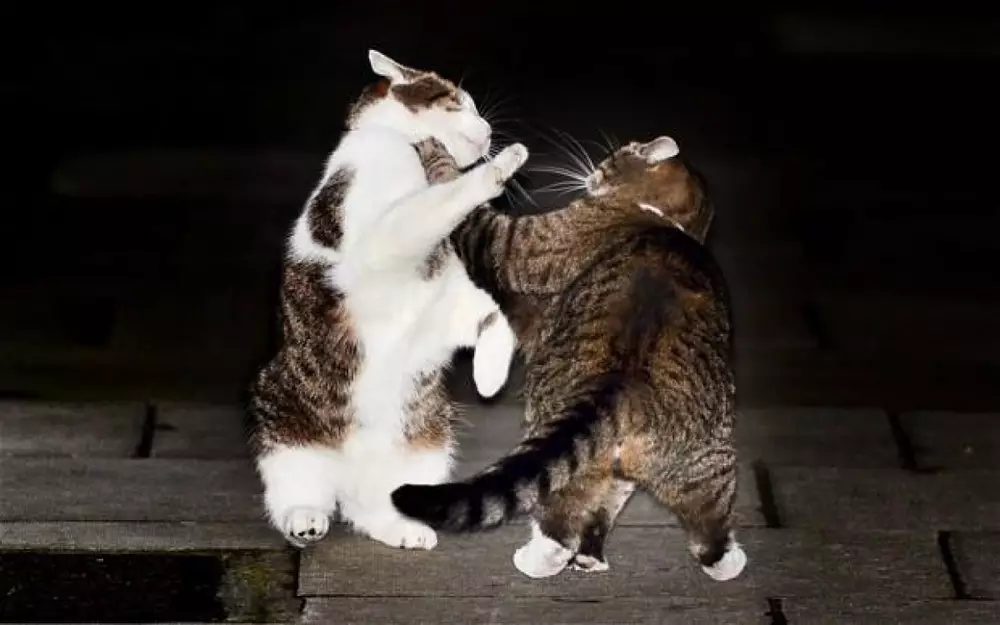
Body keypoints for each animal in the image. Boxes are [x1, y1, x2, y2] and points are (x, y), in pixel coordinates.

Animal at [247, 49, 529, 551]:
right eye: (459, 101)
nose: (489, 128)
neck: (413, 149)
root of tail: (350, 485)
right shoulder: (379, 239)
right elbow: (434, 204)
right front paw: (497, 168)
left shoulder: (449, 300)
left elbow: (493, 315)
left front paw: (490, 374)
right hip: (282, 425)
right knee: (295, 493)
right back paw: (305, 519)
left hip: (429, 440)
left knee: (372, 511)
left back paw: (401, 527)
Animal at [392, 135, 746, 581]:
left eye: (619, 153)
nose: (594, 169)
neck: (666, 221)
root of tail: (618, 386)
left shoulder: (525, 247)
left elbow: (475, 217)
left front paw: (433, 151)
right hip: (688, 461)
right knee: (702, 522)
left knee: (559, 514)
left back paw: (541, 555)